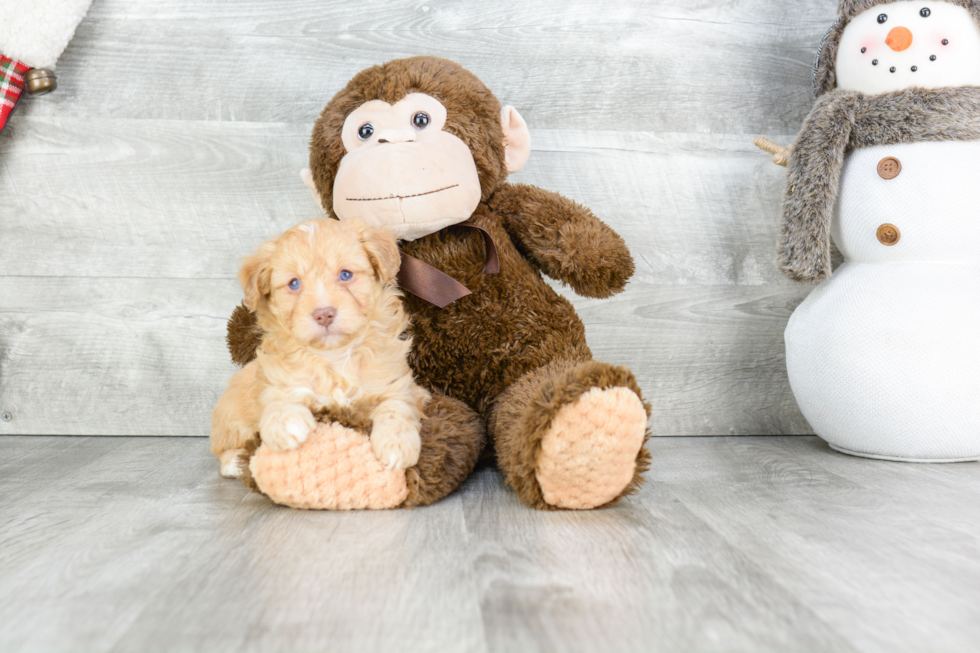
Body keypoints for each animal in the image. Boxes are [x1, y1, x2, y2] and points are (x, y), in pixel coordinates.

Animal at [211, 216, 424, 476]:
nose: (324, 314)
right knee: (223, 450)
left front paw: (397, 443)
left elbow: (397, 406)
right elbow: (278, 396)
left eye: (345, 275)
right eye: (294, 284)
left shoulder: (394, 381)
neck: (334, 356)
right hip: (230, 417)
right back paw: (236, 462)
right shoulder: (276, 378)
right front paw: (286, 422)